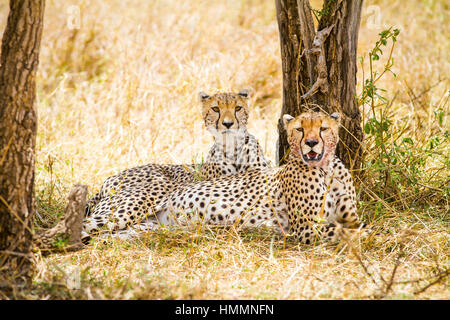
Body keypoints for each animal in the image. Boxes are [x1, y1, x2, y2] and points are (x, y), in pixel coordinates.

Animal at [153, 109, 364, 244]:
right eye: (300, 129)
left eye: (323, 128)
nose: (311, 143)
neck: (326, 169)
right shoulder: (307, 228)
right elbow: (355, 233)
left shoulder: (351, 218)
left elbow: (359, 227)